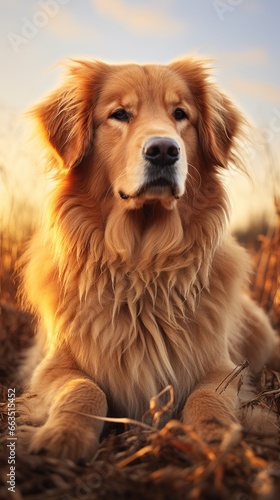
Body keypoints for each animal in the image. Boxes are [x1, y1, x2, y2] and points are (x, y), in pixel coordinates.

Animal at [18, 56, 278, 458]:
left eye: (180, 114)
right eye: (120, 114)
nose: (164, 150)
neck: (142, 264)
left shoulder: (225, 368)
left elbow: (207, 396)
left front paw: (215, 434)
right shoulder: (49, 368)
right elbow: (85, 388)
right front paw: (64, 435)